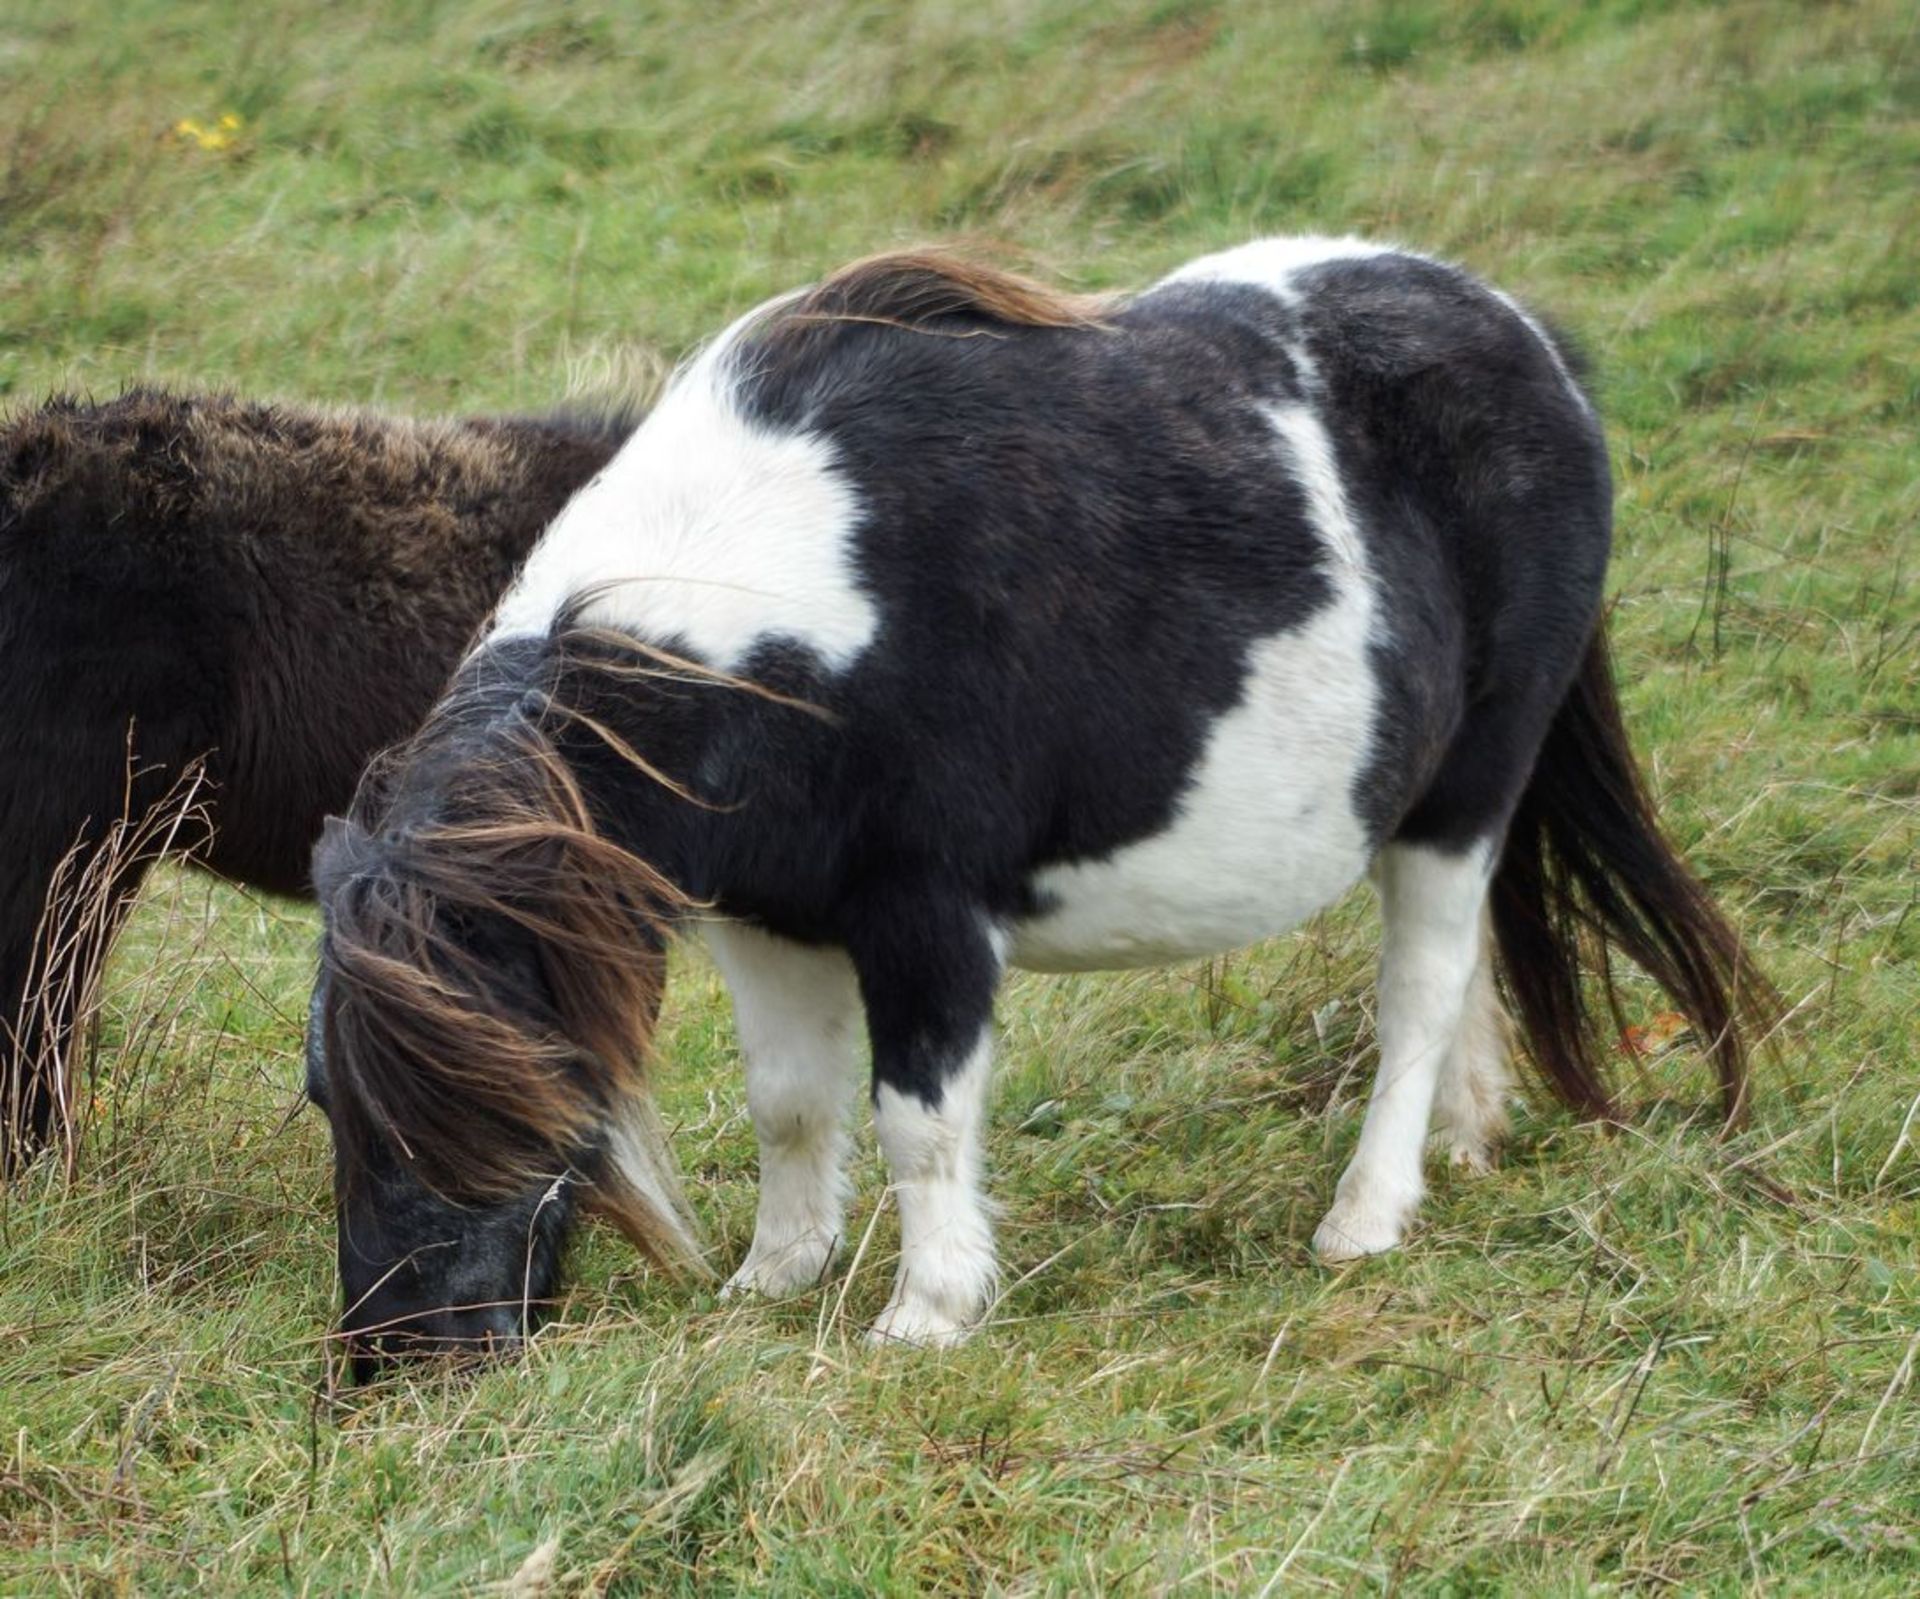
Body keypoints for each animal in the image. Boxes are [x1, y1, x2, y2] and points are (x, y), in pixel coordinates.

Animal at [311, 239, 1766, 1374]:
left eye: (498, 1097)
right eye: (331, 1099)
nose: (407, 1358)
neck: (786, 620)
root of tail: (1532, 342)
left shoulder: (926, 919)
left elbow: (919, 1115)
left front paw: (926, 1312)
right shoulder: (763, 922)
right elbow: (792, 1103)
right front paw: (772, 1278)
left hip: (1466, 794)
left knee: (1418, 990)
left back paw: (1366, 1217)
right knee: (1458, 983)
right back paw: (1462, 1146)